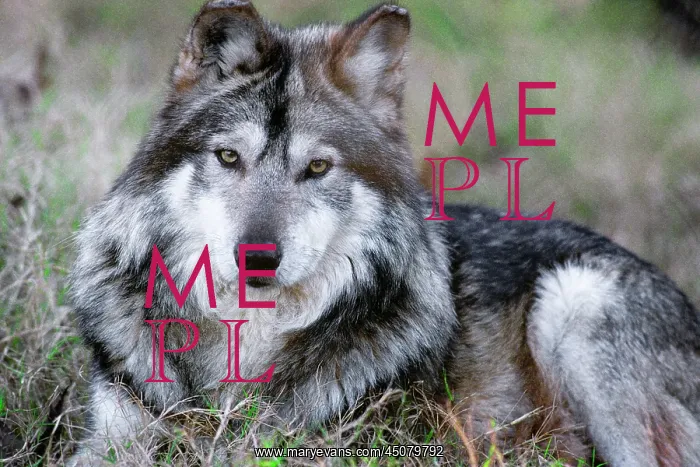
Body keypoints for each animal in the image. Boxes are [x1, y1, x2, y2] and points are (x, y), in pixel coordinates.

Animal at [68, 1, 700, 465]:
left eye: (317, 167)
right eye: (228, 157)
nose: (257, 258)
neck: (243, 354)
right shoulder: (112, 437)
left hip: (576, 307)